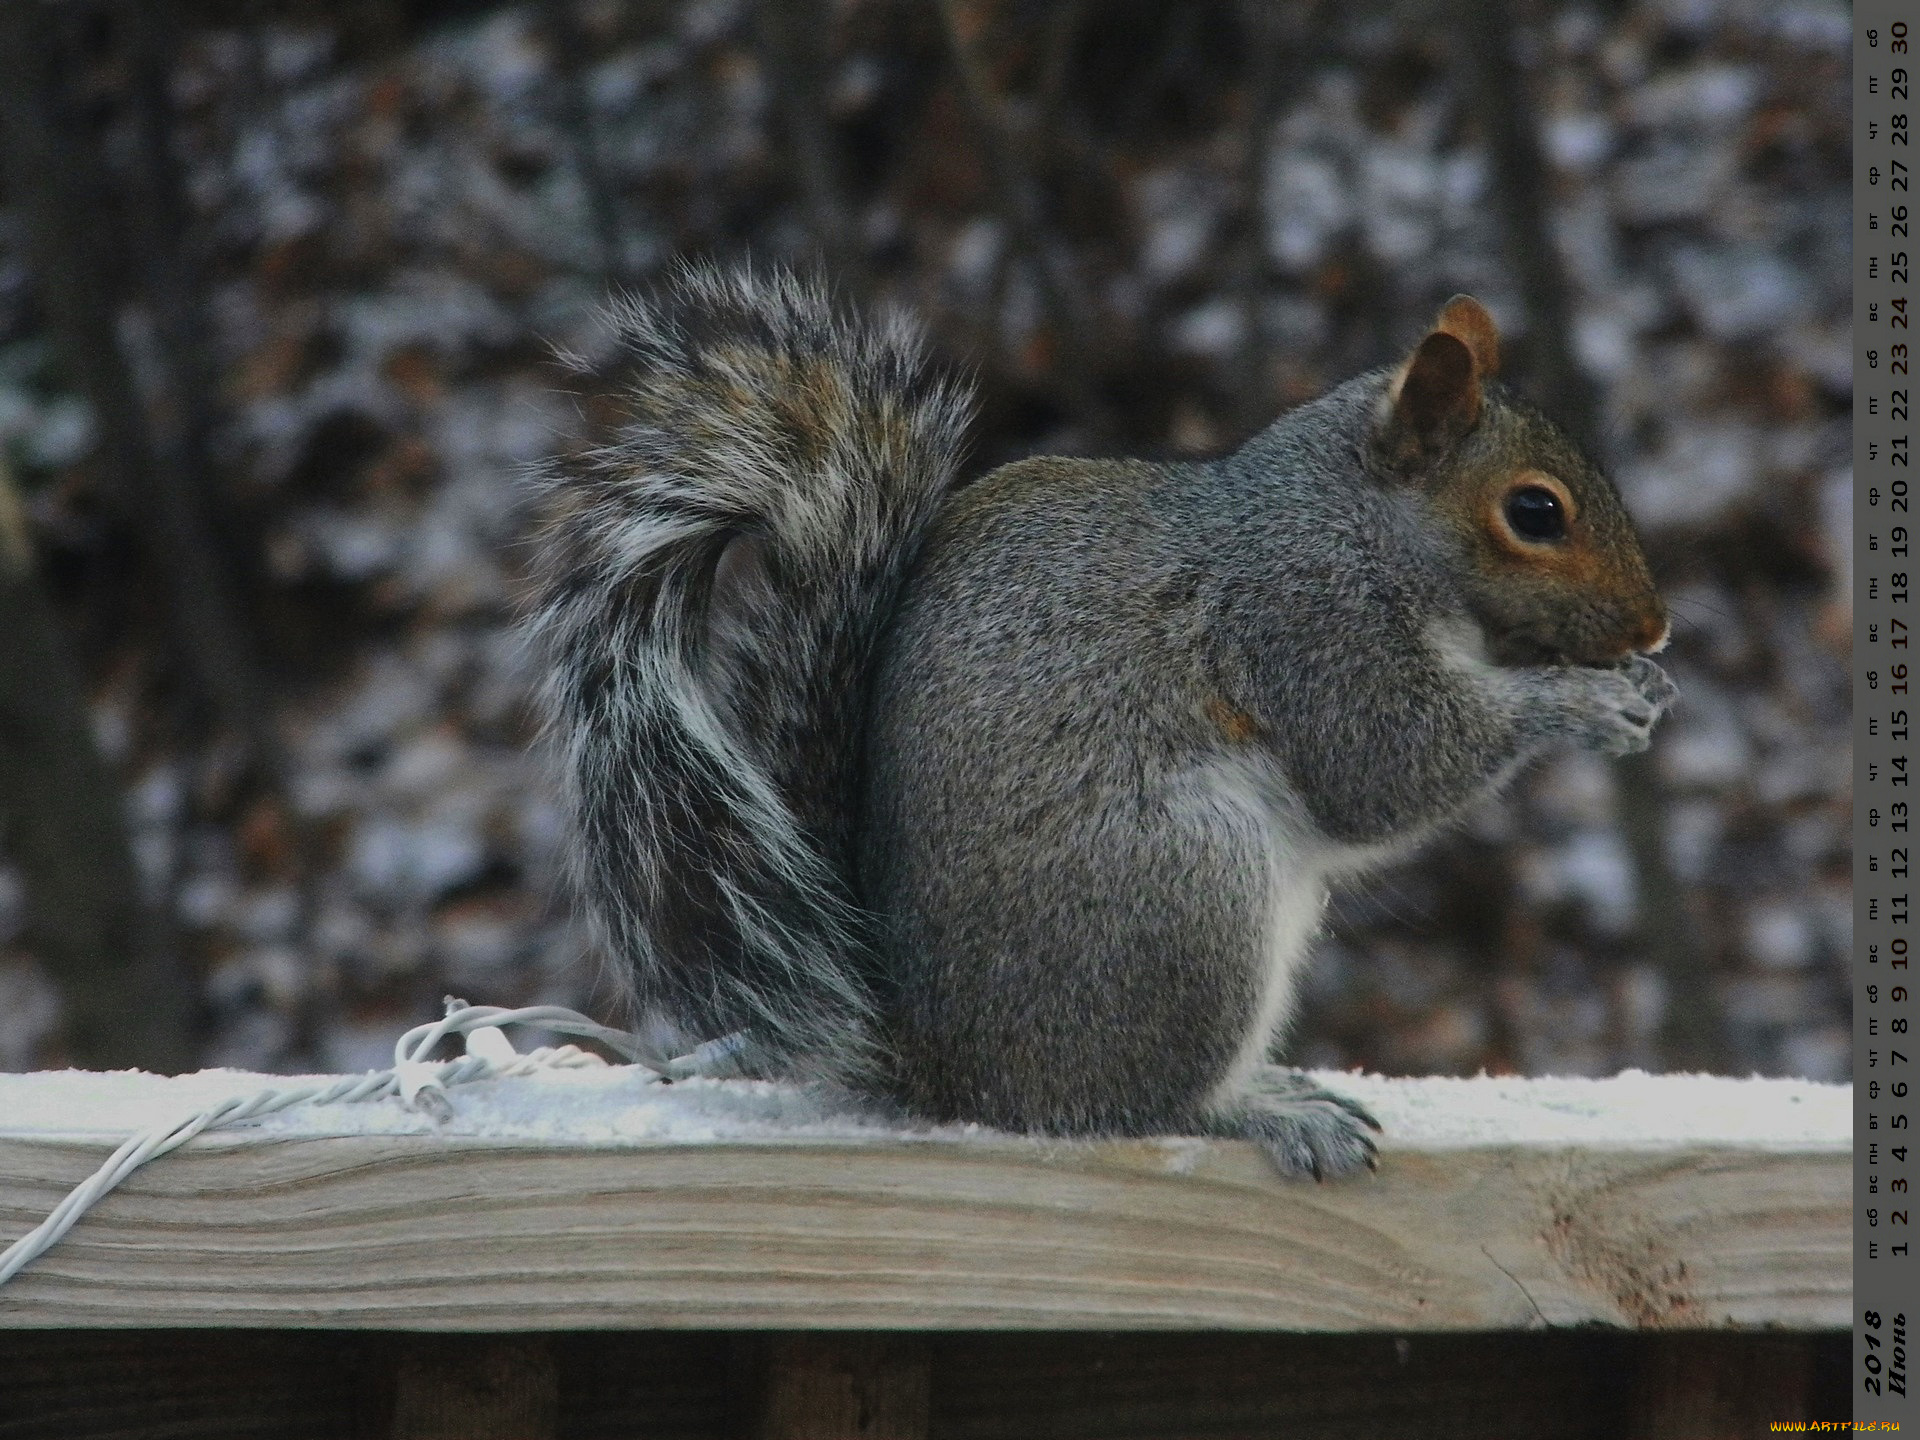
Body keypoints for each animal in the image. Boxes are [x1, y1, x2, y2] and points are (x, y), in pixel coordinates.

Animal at [526, 264, 1666, 1175]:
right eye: (1535, 512)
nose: (1653, 625)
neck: (1356, 523)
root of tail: (943, 1065)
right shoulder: (1303, 621)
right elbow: (1383, 765)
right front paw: (1580, 700)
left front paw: (1643, 687)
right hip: (1184, 892)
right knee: (1139, 1105)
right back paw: (1263, 1111)